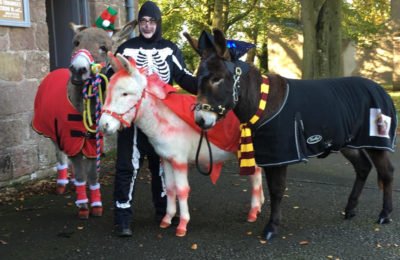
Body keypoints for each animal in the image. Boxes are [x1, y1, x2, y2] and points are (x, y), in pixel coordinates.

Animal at [184, 29, 396, 241]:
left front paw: (271, 227)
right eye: (197, 79)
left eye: (217, 79)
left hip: (376, 141)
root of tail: (380, 88)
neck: (264, 103)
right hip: (346, 142)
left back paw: (385, 214)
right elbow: (272, 189)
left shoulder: (281, 153)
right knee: (363, 167)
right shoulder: (270, 155)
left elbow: (277, 190)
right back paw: (350, 209)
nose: (200, 120)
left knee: (387, 172)